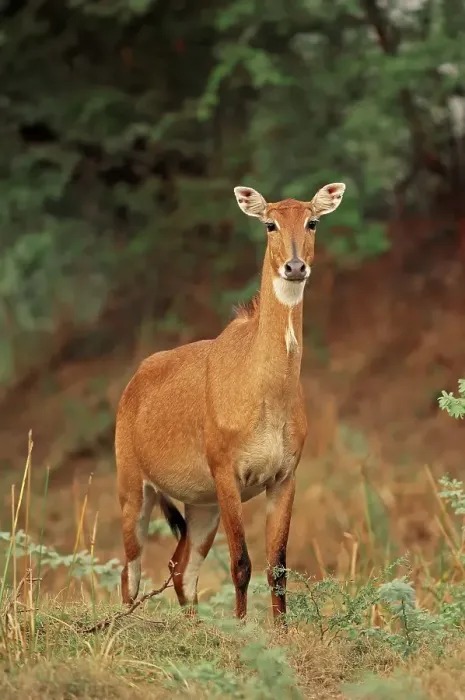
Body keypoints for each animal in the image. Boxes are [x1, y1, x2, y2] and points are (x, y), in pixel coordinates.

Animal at [115, 182, 346, 620]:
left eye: (312, 221)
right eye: (270, 224)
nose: (294, 267)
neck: (266, 394)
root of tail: (132, 384)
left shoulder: (284, 478)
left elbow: (278, 567)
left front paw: (280, 629)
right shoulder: (227, 474)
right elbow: (241, 563)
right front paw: (241, 626)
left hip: (202, 505)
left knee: (181, 567)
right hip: (135, 489)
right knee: (130, 571)